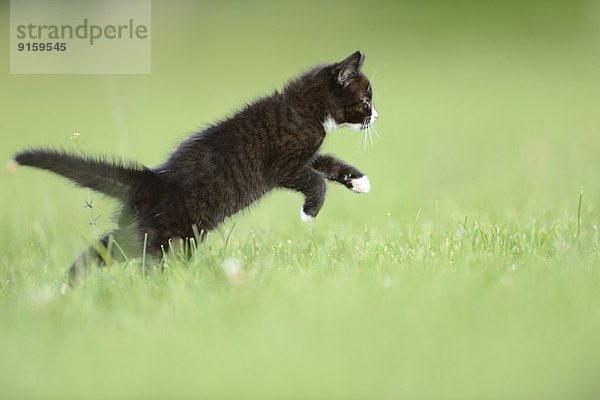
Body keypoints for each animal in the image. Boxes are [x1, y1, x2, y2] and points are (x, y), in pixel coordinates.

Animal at [14, 50, 378, 282]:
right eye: (365, 100)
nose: (377, 116)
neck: (303, 108)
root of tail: (151, 181)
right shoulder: (284, 165)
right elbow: (315, 179)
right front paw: (309, 212)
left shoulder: (307, 156)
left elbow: (329, 163)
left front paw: (359, 181)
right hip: (170, 236)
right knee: (146, 262)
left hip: (143, 231)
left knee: (102, 249)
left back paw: (68, 286)